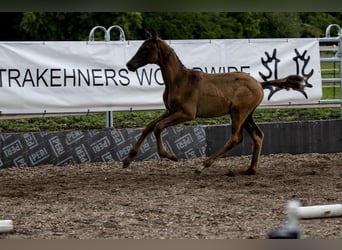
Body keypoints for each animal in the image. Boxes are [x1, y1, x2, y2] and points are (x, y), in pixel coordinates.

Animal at [123, 32, 304, 175]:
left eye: (147, 48)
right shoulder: (170, 110)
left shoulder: (186, 113)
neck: (179, 80)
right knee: (258, 136)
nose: (129, 64)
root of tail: (259, 84)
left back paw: (202, 165)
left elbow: (158, 127)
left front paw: (170, 156)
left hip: (238, 112)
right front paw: (127, 160)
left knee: (236, 138)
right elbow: (149, 127)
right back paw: (250, 169)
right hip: (247, 115)